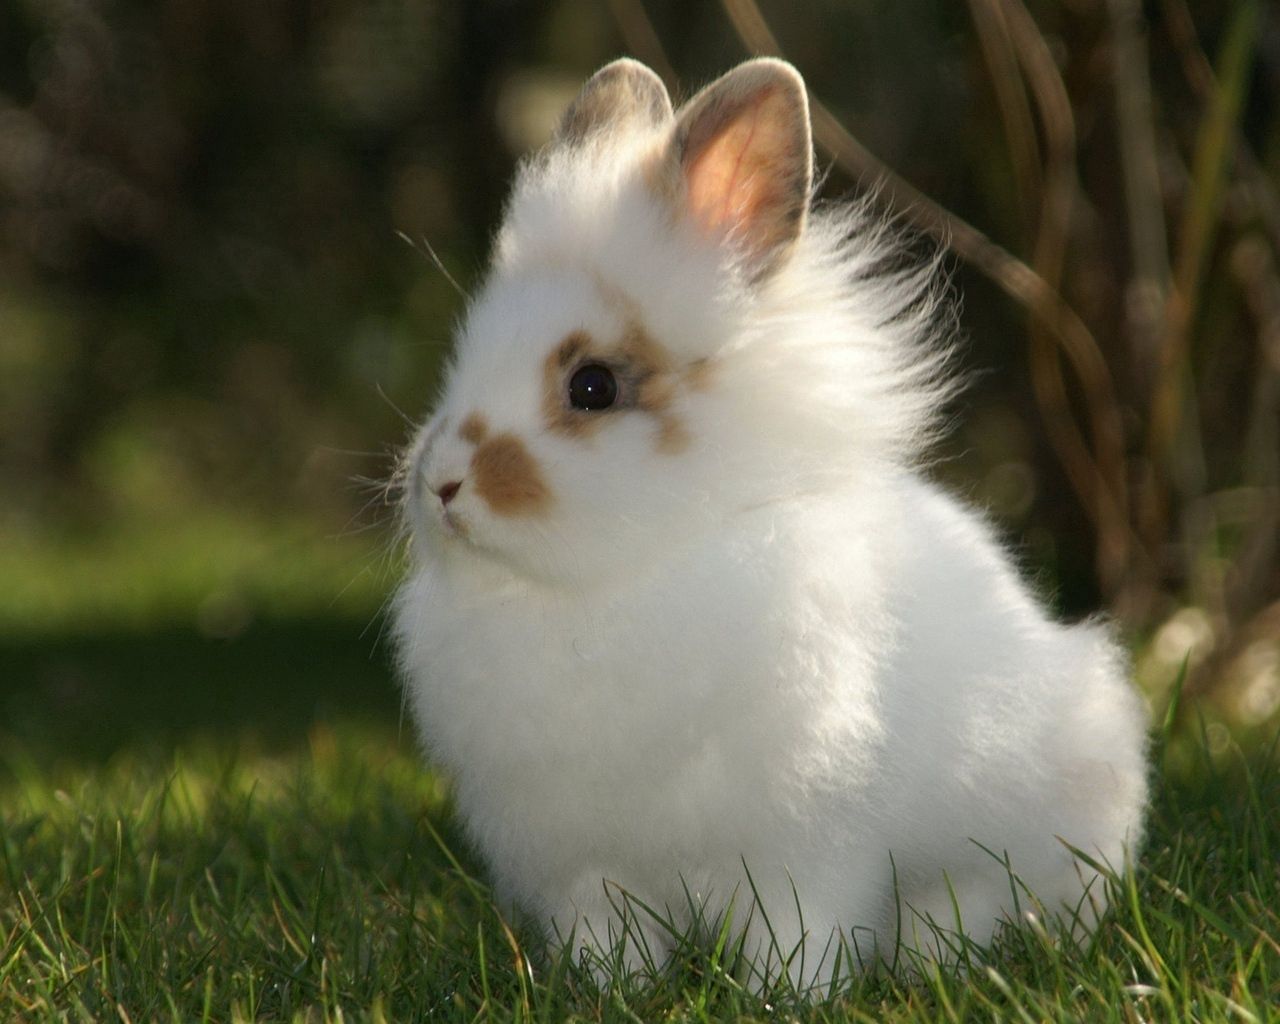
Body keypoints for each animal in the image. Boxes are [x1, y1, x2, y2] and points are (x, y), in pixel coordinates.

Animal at [391, 57, 1152, 993]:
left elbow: (803, 924)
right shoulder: (588, 866)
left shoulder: (811, 844)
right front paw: (610, 989)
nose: (441, 484)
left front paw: (787, 993)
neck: (612, 580)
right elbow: (606, 935)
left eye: (593, 386)